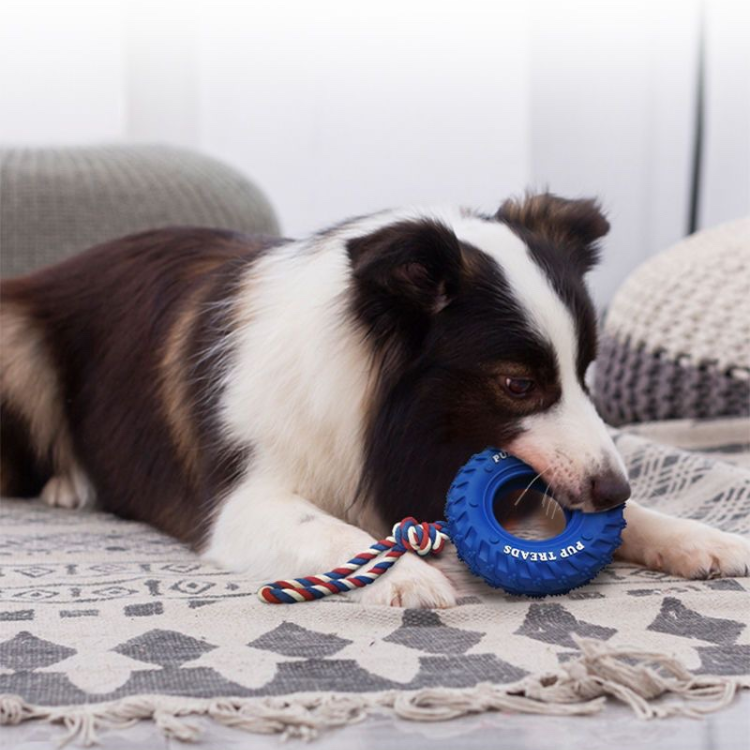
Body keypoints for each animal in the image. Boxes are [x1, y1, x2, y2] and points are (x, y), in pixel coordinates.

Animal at [1, 192, 750, 604]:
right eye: (518, 384)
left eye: (587, 371)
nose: (613, 490)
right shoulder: (241, 504)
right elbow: (335, 531)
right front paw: (405, 576)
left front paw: (697, 537)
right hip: (18, 342)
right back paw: (68, 484)